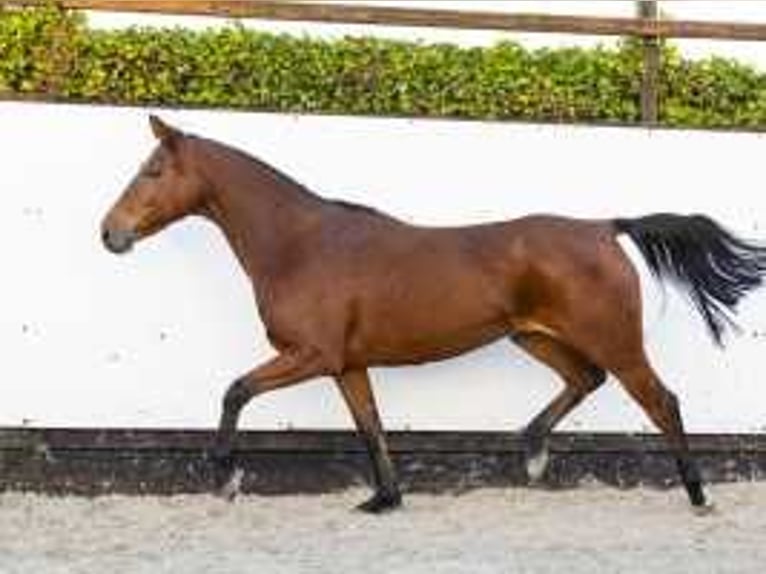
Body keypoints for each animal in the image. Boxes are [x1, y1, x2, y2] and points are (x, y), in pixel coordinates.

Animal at [102, 115, 766, 516]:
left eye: (152, 171)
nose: (110, 233)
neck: (299, 244)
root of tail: (604, 227)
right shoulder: (346, 363)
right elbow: (369, 425)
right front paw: (384, 498)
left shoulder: (310, 354)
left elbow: (235, 390)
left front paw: (228, 477)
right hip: (532, 336)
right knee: (585, 379)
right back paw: (531, 452)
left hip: (614, 340)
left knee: (661, 401)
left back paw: (698, 494)